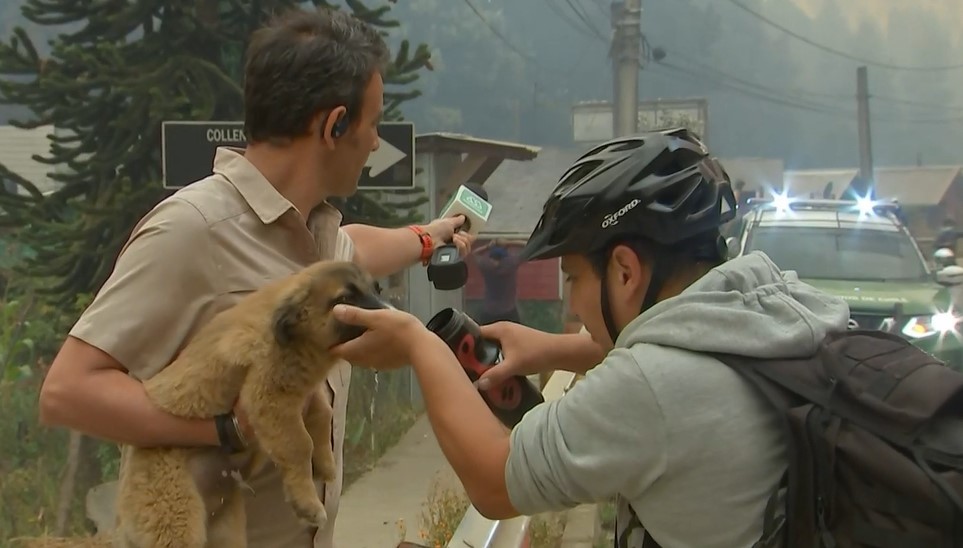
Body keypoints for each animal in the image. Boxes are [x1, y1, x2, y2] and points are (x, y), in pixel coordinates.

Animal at [110, 260, 388, 548]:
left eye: (376, 289)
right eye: (344, 299)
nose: (388, 313)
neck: (296, 338)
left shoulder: (304, 394)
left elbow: (323, 416)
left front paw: (324, 464)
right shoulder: (269, 398)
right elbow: (299, 445)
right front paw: (307, 503)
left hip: (225, 532)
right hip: (178, 522)